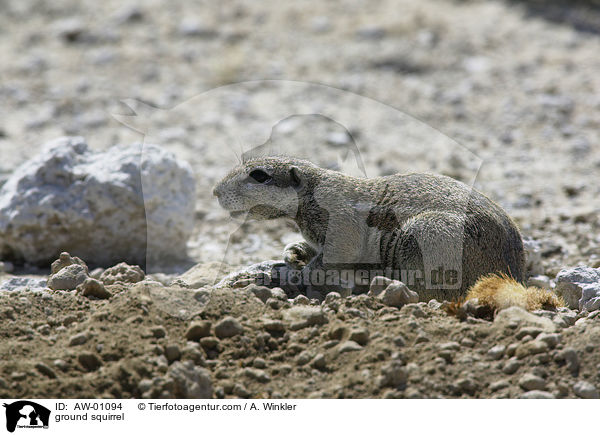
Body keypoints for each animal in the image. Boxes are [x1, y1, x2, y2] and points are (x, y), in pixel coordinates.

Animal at [214, 157, 524, 304]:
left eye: (259, 175)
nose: (215, 191)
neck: (309, 192)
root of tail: (512, 275)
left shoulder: (340, 221)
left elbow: (337, 253)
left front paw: (300, 273)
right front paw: (294, 252)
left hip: (426, 234)